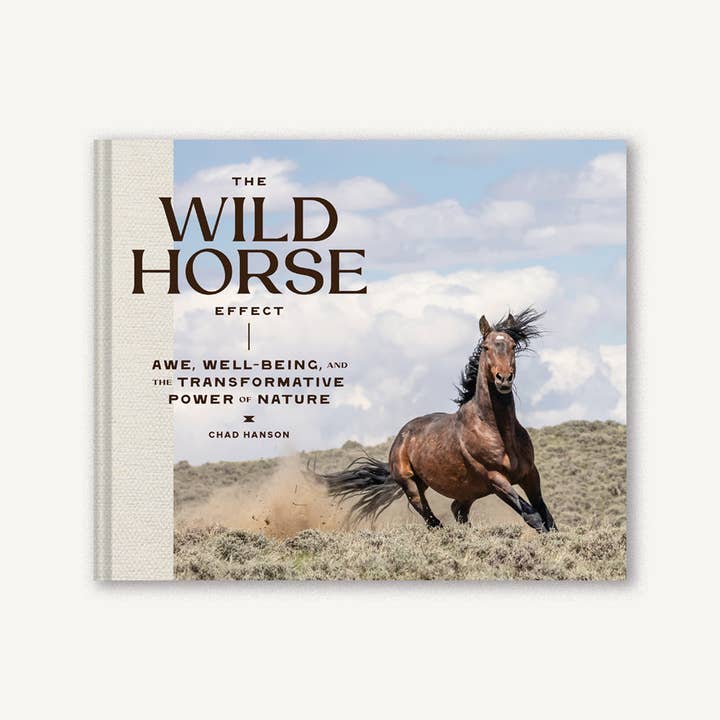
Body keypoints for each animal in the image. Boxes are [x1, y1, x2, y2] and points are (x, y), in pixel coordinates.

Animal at [313, 308, 557, 533]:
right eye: (486, 347)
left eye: (513, 345)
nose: (503, 378)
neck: (497, 430)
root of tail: (401, 438)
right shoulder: (495, 479)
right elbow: (533, 516)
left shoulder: (530, 474)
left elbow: (547, 517)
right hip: (412, 486)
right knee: (432, 520)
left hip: (469, 490)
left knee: (456, 510)